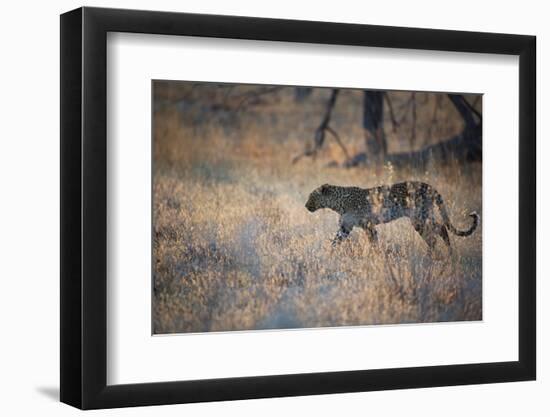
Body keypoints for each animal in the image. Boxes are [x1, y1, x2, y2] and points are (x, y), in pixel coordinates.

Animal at [306, 180, 478, 252]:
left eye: (311, 197)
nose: (306, 206)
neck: (337, 204)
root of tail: (428, 186)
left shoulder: (368, 225)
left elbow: (373, 242)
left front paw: (376, 257)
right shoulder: (345, 227)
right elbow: (335, 242)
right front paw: (329, 256)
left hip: (419, 217)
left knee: (434, 235)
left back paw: (435, 255)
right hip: (423, 216)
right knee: (441, 228)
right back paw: (447, 254)